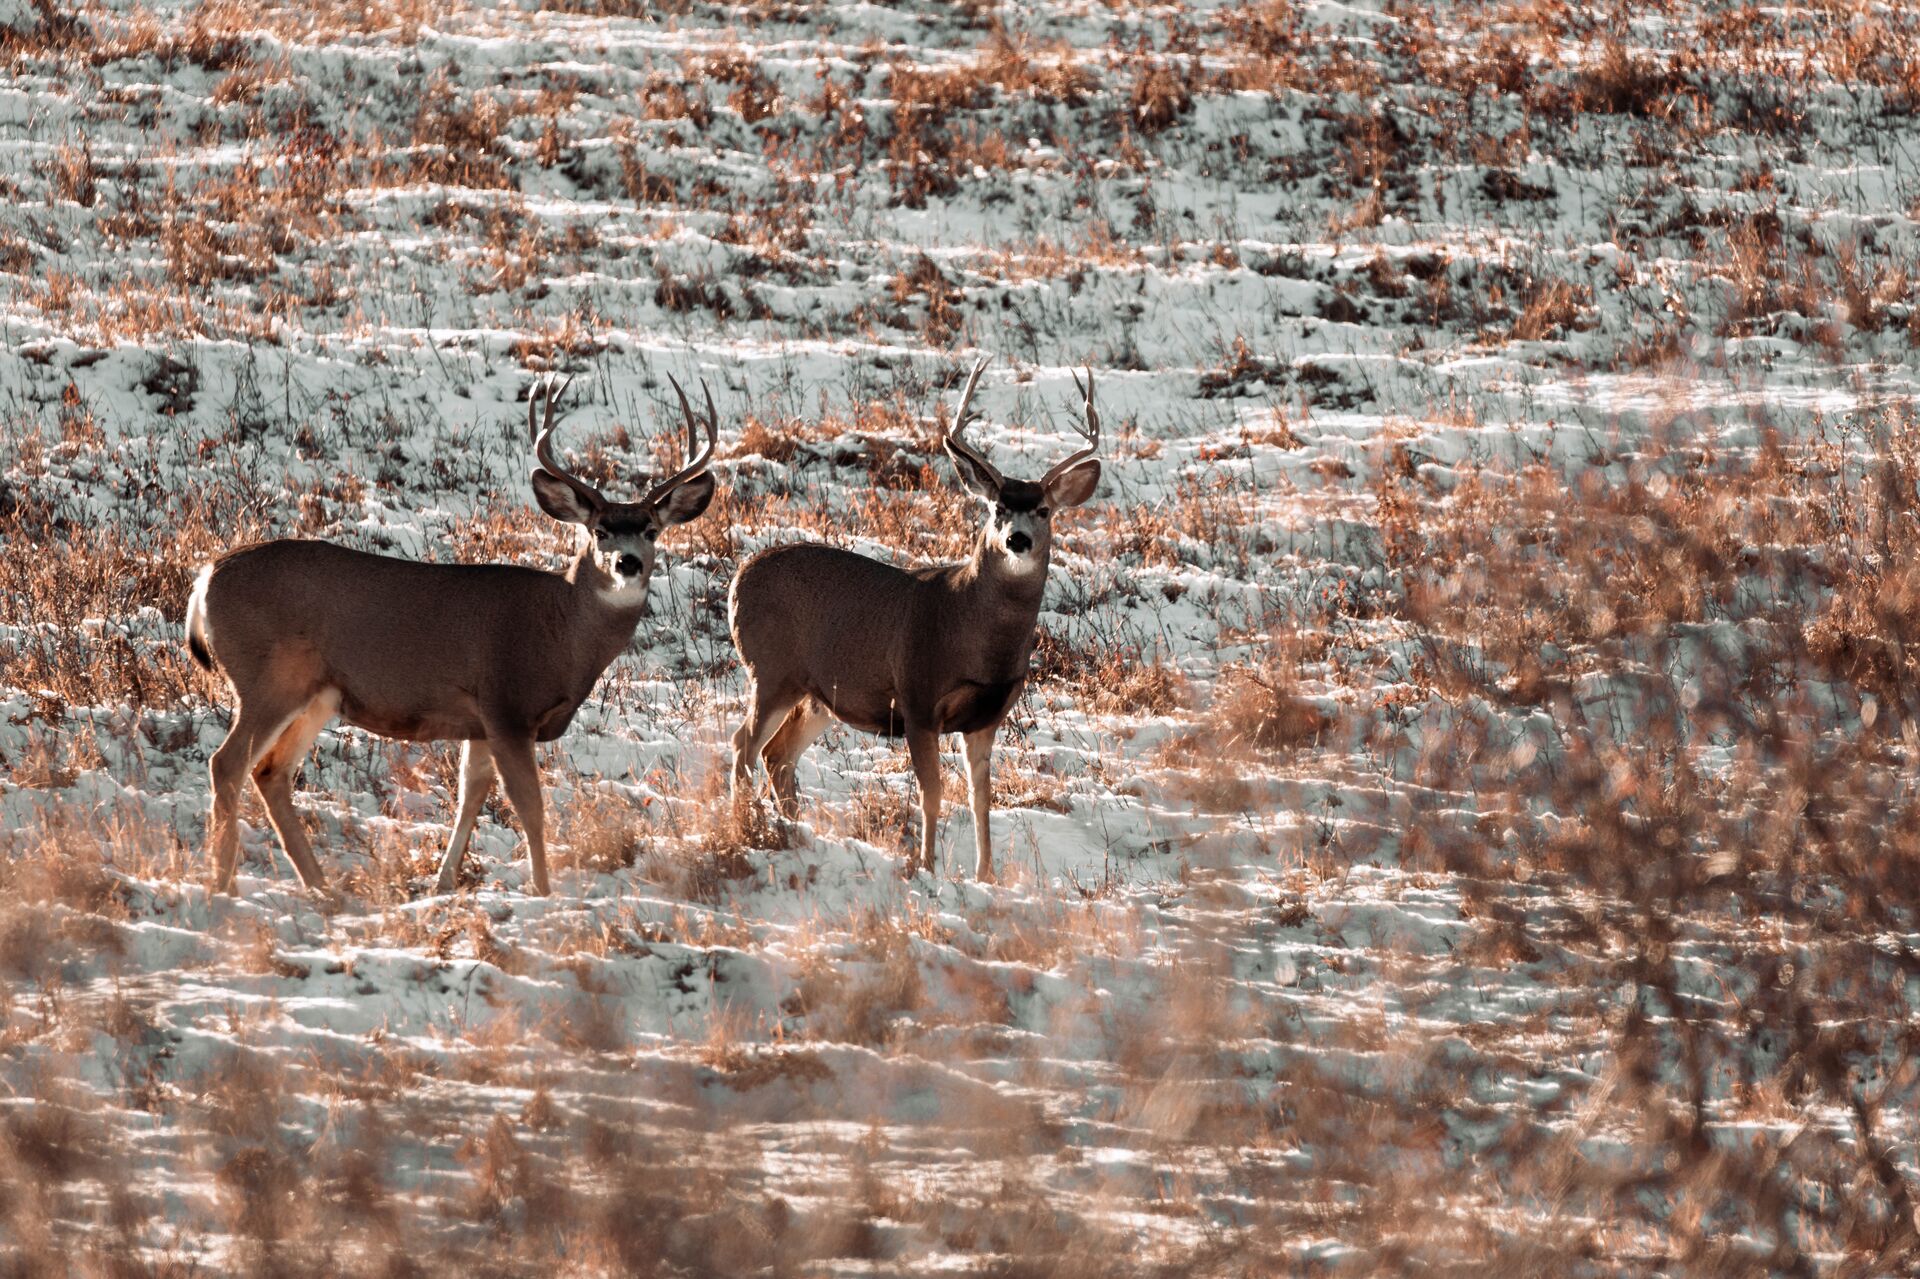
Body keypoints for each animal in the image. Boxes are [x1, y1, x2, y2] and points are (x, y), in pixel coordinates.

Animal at [187, 376, 721, 894]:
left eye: (650, 529)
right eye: (600, 531)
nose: (627, 563)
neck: (563, 633)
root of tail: (205, 578)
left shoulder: (478, 722)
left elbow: (470, 796)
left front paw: (445, 882)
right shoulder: (507, 704)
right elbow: (530, 806)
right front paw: (544, 893)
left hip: (318, 694)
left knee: (271, 772)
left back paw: (324, 892)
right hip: (267, 678)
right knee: (226, 764)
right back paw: (223, 883)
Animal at [725, 359, 1105, 875]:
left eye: (1044, 510)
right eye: (998, 507)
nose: (1017, 539)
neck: (975, 635)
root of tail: (737, 580)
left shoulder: (986, 717)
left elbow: (980, 798)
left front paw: (986, 875)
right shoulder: (917, 697)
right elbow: (933, 792)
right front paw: (926, 866)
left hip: (819, 695)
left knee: (775, 754)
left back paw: (794, 831)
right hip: (770, 670)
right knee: (743, 744)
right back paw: (747, 826)